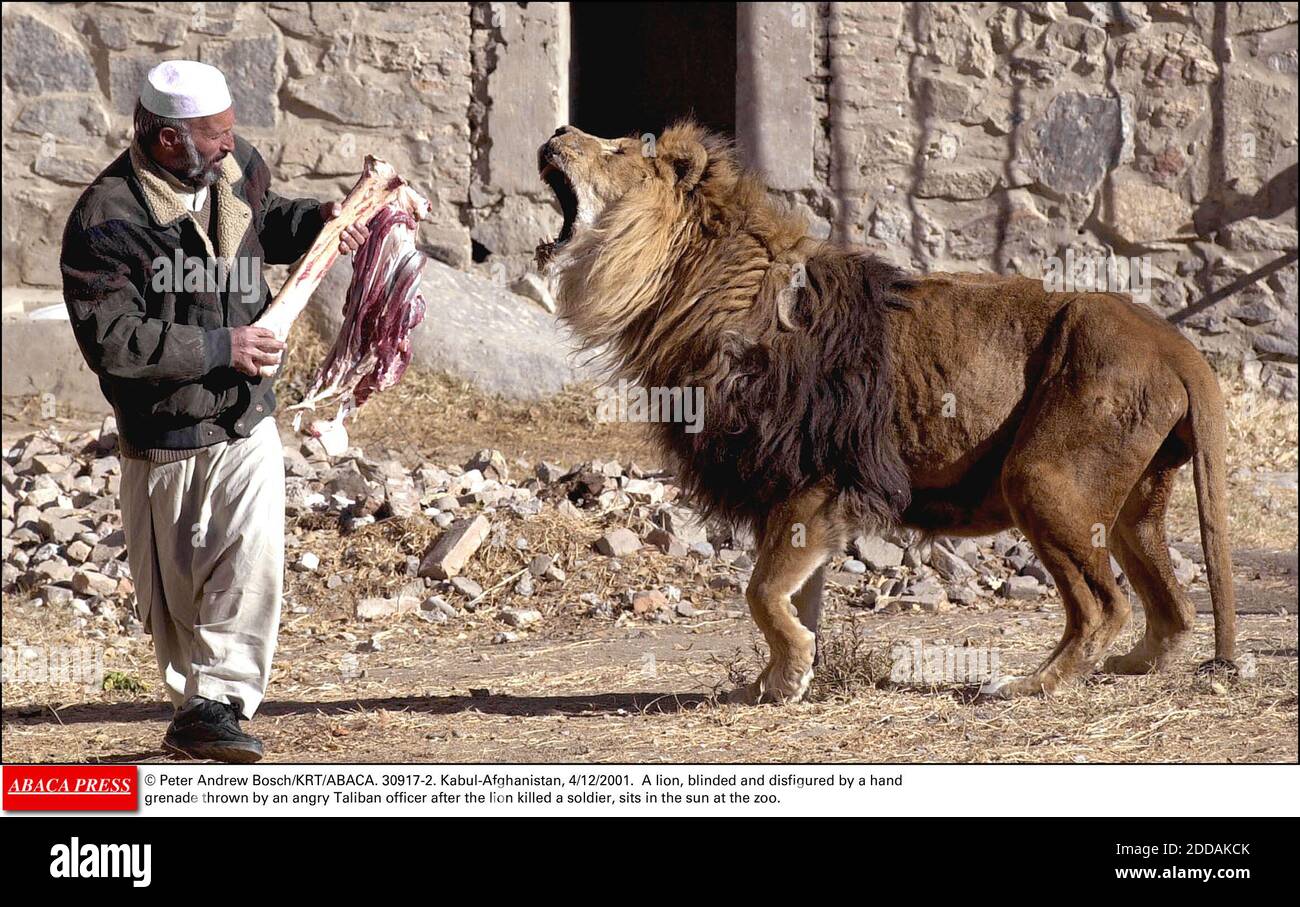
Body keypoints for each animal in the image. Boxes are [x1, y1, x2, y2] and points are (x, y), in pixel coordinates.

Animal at [535, 122, 1237, 701]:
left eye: (616, 150)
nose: (558, 132)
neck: (695, 287)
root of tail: (1172, 340)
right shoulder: (795, 496)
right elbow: (795, 595)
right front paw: (778, 681)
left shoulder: (818, 477)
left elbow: (761, 591)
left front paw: (787, 672)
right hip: (1129, 504)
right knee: (1174, 609)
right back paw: (1129, 669)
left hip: (1042, 478)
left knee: (1104, 606)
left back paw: (1032, 685)